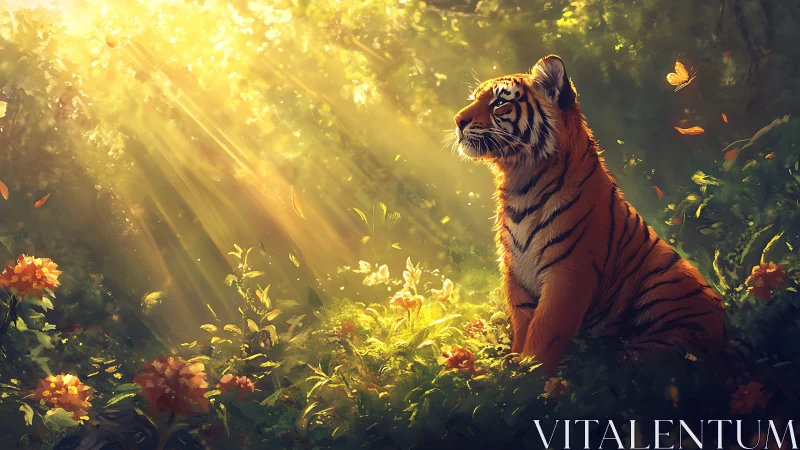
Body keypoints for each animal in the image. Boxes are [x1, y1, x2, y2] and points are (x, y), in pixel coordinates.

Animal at [453, 54, 727, 375]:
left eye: (499, 103)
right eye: (475, 98)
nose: (457, 121)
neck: (519, 182)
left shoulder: (569, 273)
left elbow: (543, 335)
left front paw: (530, 381)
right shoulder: (515, 273)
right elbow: (522, 328)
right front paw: (514, 373)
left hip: (667, 292)